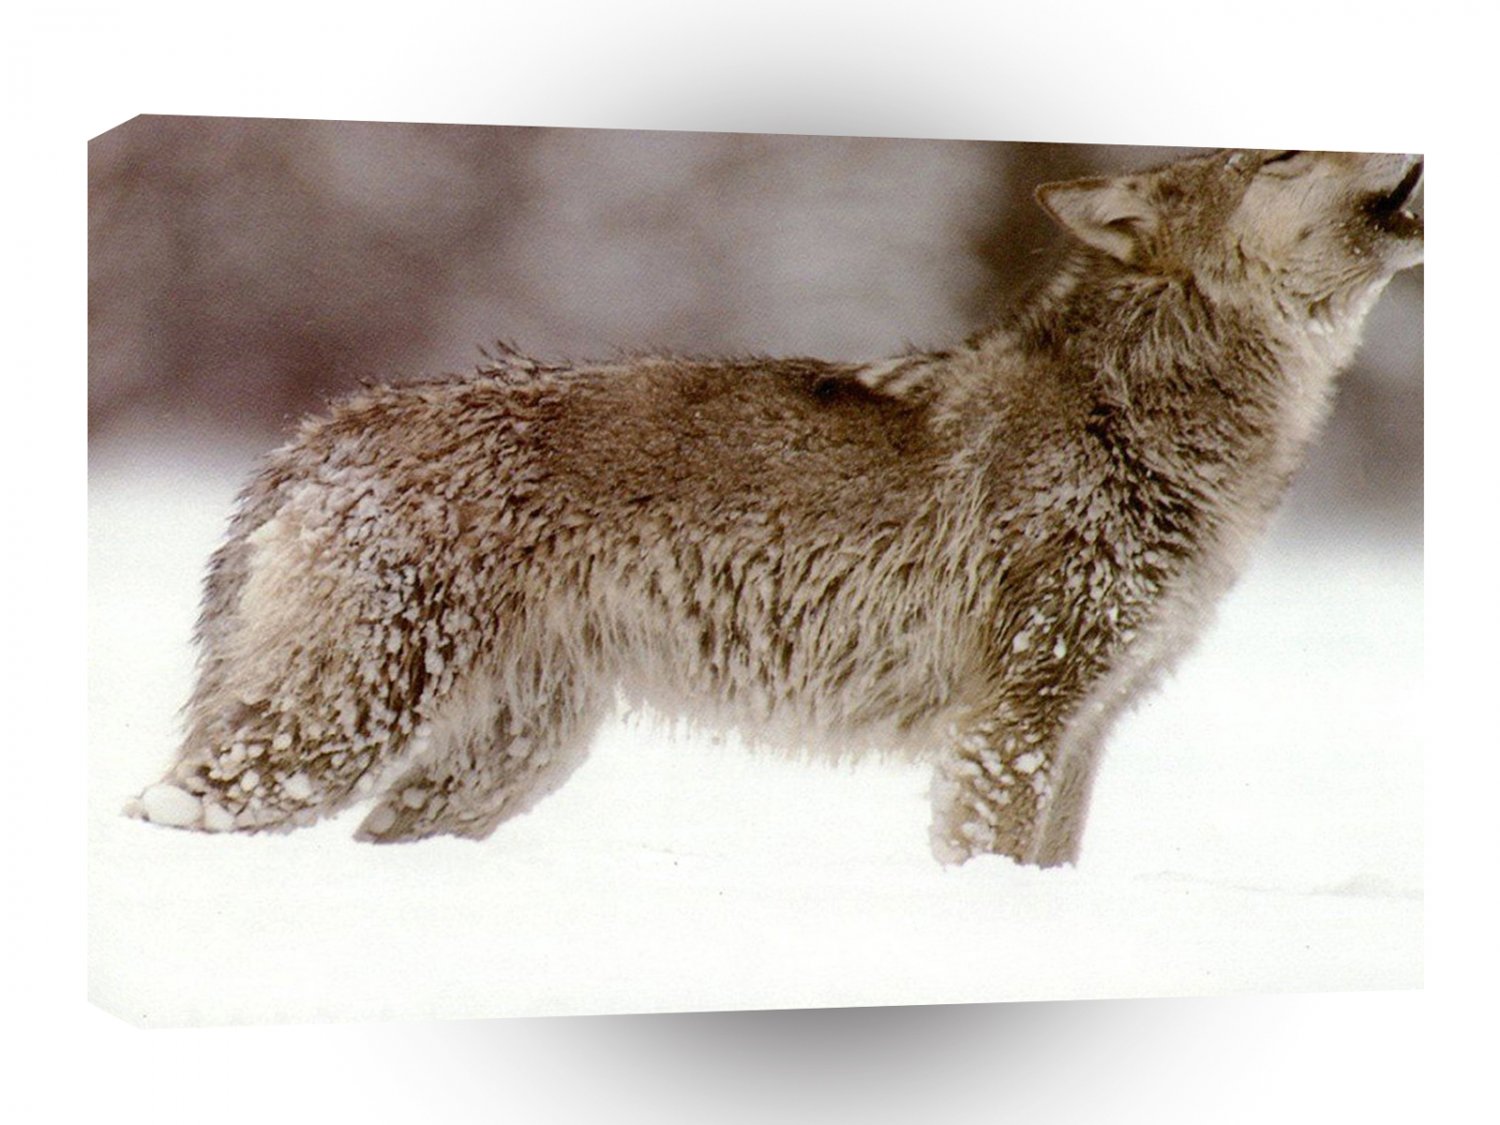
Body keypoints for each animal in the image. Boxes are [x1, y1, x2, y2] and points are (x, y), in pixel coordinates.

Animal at [127, 147, 1423, 867]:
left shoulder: (1086, 726)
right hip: (339, 731)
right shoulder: (1012, 722)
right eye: (1283, 154)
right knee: (164, 811)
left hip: (508, 760)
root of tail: (321, 430)